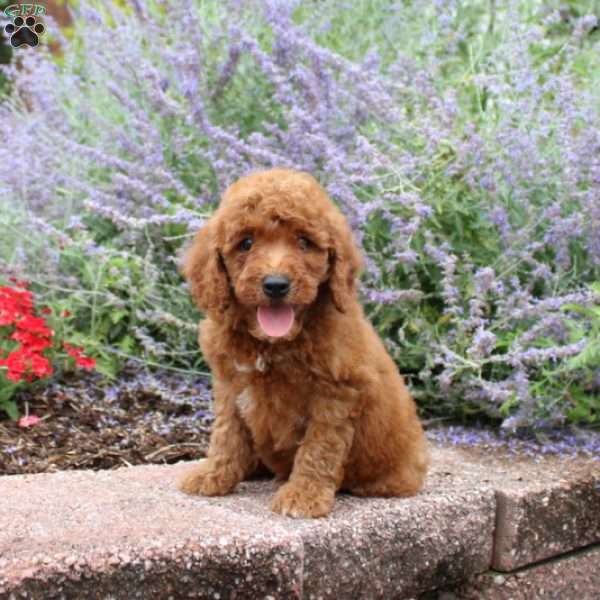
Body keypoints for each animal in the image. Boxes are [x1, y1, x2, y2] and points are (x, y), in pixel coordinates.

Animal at [176, 168, 428, 516]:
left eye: (304, 242)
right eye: (246, 243)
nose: (275, 284)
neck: (272, 344)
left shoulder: (336, 392)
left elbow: (319, 447)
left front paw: (303, 496)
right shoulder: (229, 382)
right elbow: (227, 432)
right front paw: (214, 474)